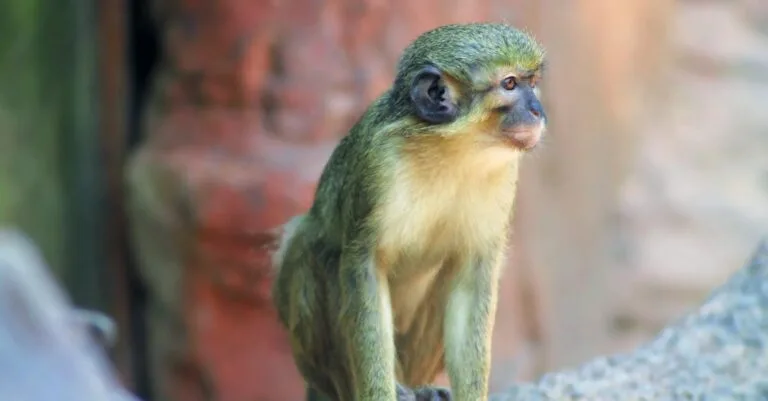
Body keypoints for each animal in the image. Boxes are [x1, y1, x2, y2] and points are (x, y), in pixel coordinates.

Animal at [271, 22, 547, 401]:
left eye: (532, 82)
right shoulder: (379, 163)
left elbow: (471, 278)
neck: (453, 148)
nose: (538, 110)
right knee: (310, 248)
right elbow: (363, 264)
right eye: (509, 84)